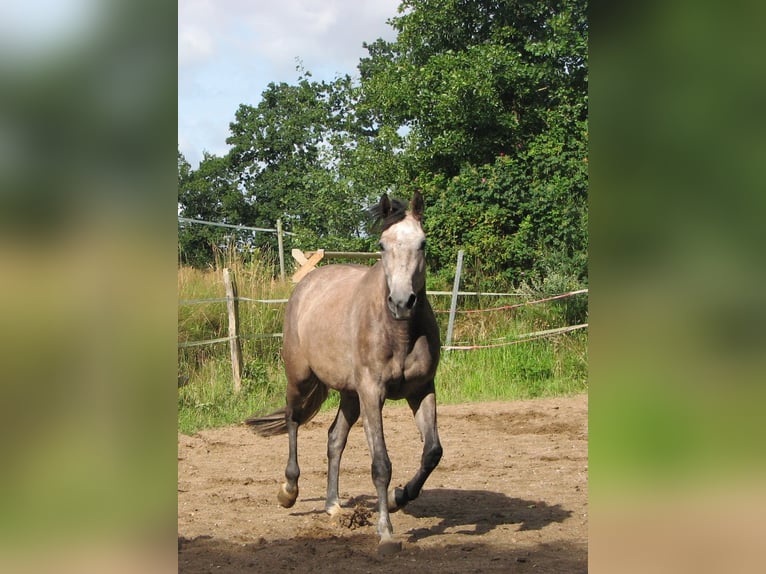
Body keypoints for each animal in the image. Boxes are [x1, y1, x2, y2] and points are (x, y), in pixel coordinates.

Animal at [246, 191, 444, 556]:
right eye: (382, 245)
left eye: (422, 243)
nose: (401, 302)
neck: (399, 331)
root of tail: (307, 284)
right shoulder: (372, 393)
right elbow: (381, 464)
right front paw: (386, 533)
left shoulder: (421, 389)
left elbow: (432, 453)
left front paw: (398, 497)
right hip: (301, 378)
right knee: (294, 420)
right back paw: (289, 490)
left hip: (349, 394)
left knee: (334, 438)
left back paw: (333, 504)